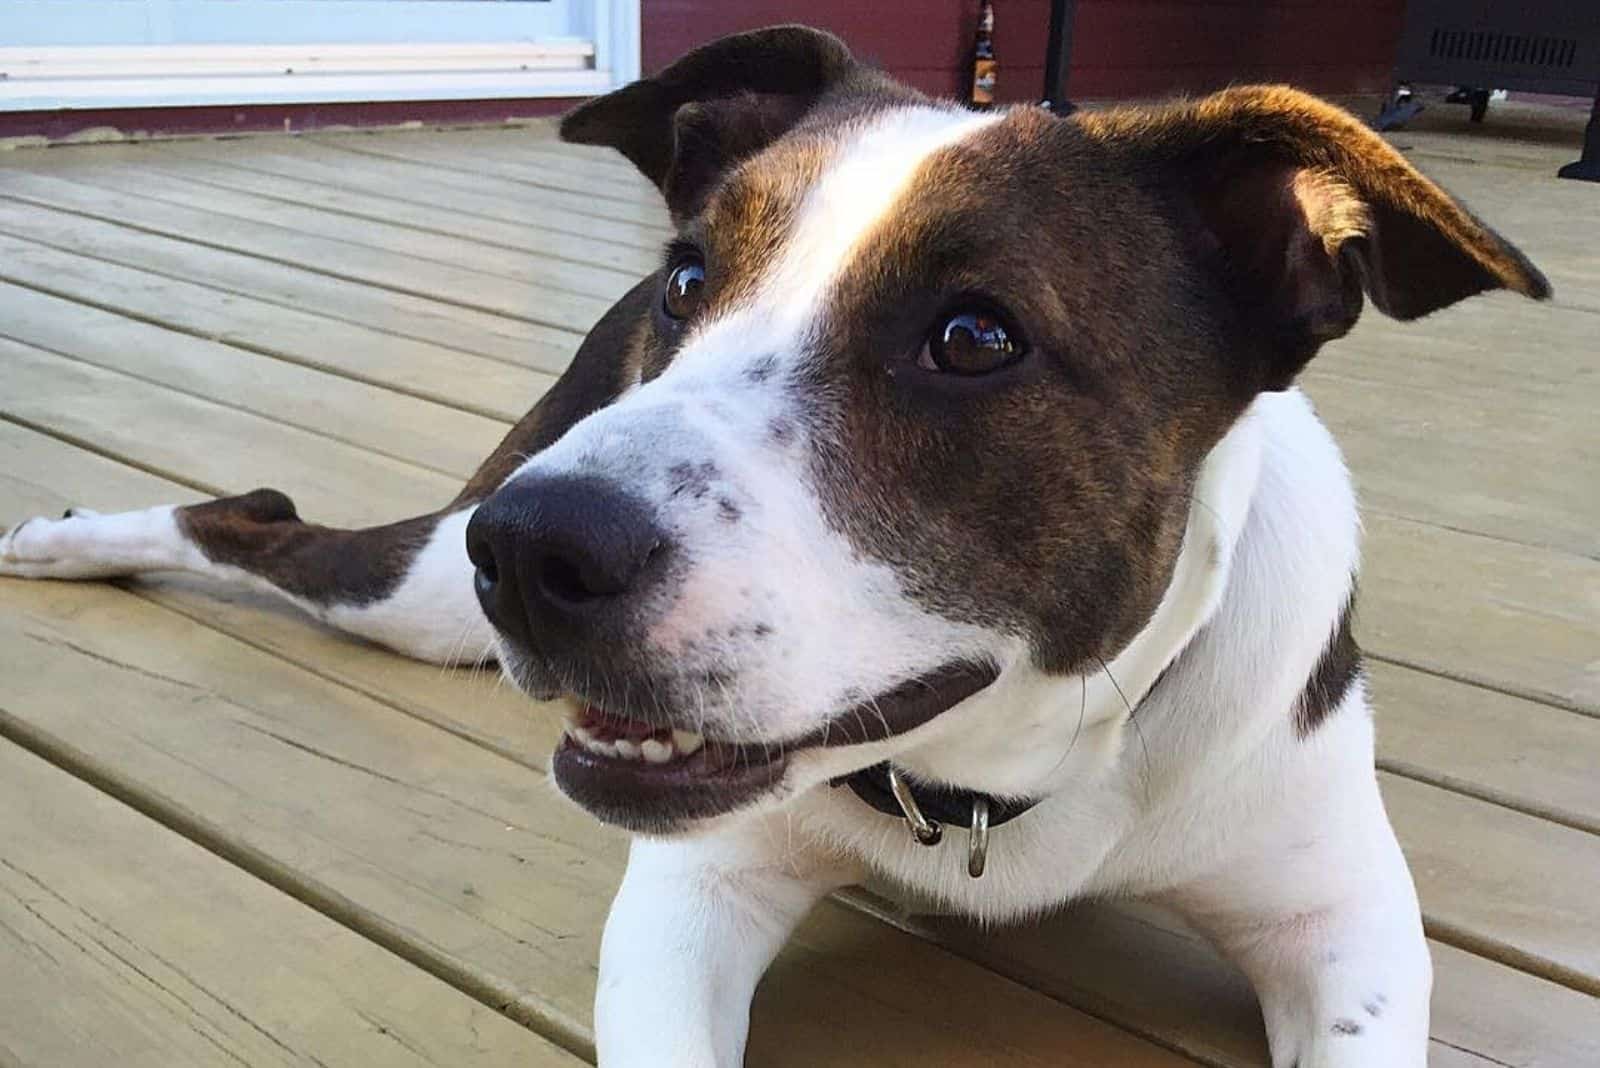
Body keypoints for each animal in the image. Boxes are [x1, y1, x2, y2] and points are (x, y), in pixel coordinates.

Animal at [0, 24, 1548, 1068]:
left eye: (974, 338)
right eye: (692, 279)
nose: (533, 549)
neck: (988, 792)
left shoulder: (1343, 928)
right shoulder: (692, 898)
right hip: (424, 589)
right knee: (253, 520)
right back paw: (70, 541)